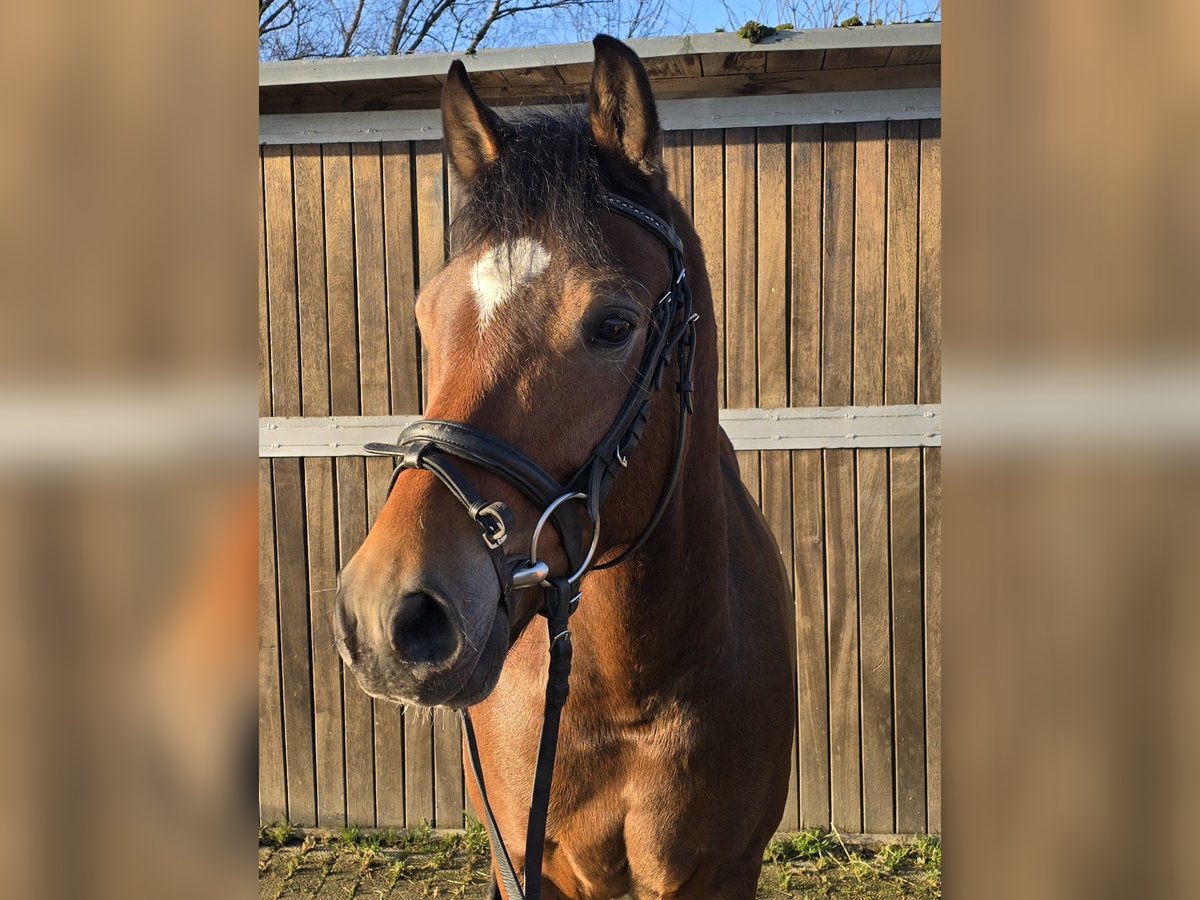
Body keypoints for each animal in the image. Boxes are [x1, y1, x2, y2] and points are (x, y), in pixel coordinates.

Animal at [333, 35, 792, 900]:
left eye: (613, 324)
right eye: (426, 314)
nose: (384, 614)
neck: (627, 696)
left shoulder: (723, 870)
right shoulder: (525, 861)